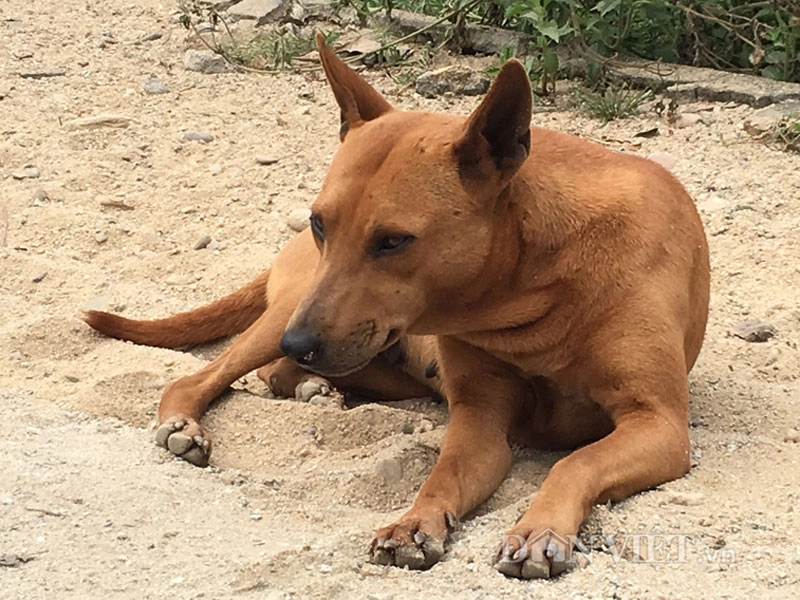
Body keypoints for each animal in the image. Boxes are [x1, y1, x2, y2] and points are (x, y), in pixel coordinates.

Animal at [83, 35, 708, 580]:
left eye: (393, 241)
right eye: (320, 223)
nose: (301, 343)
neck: (535, 281)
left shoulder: (658, 424)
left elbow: (574, 461)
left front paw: (538, 531)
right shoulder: (480, 419)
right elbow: (440, 475)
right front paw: (415, 523)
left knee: (283, 372)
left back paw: (311, 384)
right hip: (292, 315)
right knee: (202, 376)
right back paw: (195, 419)